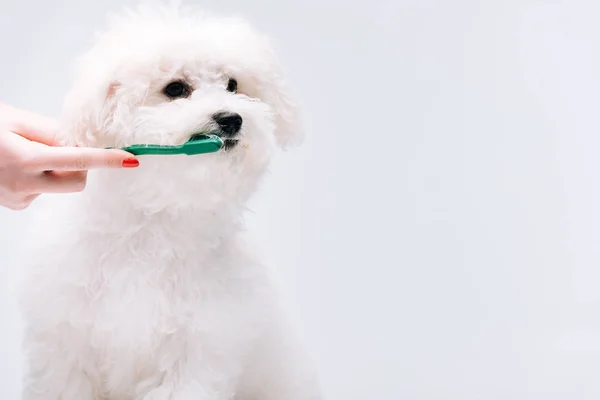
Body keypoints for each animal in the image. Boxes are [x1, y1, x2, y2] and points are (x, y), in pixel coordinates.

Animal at [16, 3, 322, 400]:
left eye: (233, 85)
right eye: (175, 88)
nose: (231, 118)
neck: (153, 221)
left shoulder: (196, 353)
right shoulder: (65, 348)